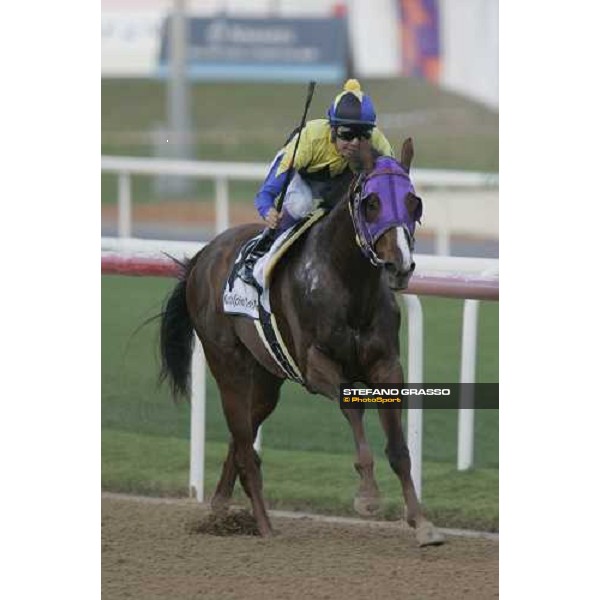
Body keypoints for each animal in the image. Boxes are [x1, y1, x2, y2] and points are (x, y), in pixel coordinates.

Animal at [159, 138, 446, 548]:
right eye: (371, 202)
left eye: (414, 202)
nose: (399, 267)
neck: (348, 284)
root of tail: (202, 256)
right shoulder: (316, 366)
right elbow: (352, 408)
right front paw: (368, 495)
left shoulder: (387, 366)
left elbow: (399, 448)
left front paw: (422, 523)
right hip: (227, 363)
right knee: (243, 441)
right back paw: (263, 525)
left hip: (266, 379)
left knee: (241, 437)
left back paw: (219, 509)